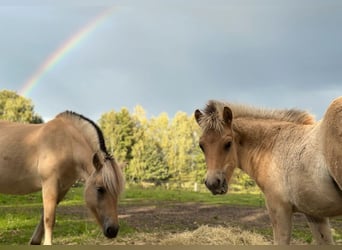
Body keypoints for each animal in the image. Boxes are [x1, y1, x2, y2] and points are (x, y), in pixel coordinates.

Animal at [0, 111, 124, 244]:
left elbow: (44, 216)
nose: (113, 230)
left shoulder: (63, 188)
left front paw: (35, 241)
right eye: (100, 189)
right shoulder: (49, 183)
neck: (67, 143)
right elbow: (49, 218)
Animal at [194, 97, 342, 244]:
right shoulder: (314, 214)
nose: (213, 183)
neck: (272, 146)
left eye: (228, 143)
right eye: (201, 145)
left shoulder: (278, 209)